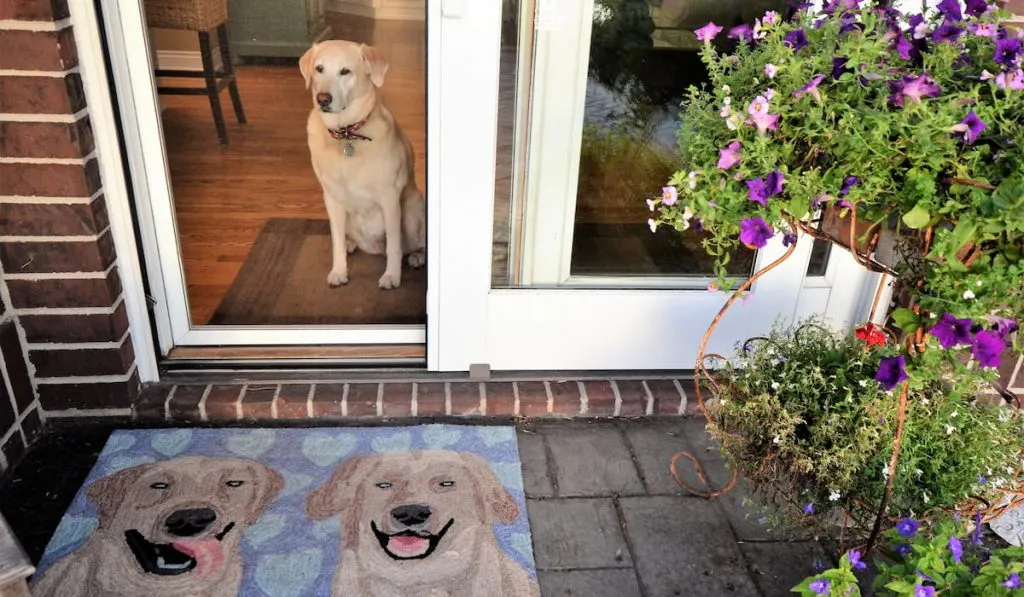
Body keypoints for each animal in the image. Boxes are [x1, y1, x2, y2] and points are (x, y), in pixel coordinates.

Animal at [299, 39, 425, 288]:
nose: (323, 99)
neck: (346, 134)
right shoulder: (331, 199)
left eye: (345, 71)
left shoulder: (389, 197)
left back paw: (417, 256)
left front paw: (391, 276)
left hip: (412, 210)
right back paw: (351, 244)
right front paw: (339, 271)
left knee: (411, 245)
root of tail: (374, 247)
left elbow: (394, 245)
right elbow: (336, 241)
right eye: (319, 69)